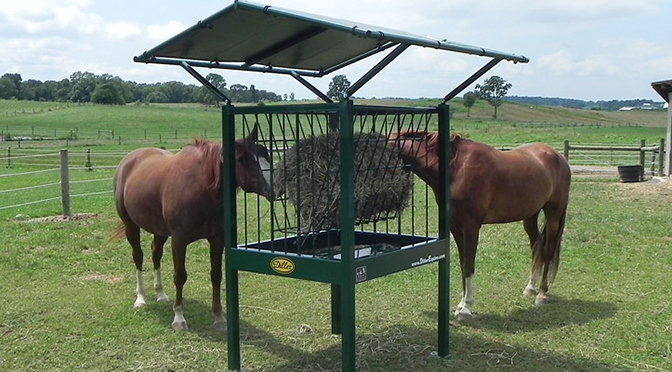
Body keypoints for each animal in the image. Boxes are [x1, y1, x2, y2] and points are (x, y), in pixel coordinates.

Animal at [111, 126, 274, 330]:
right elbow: (180, 276)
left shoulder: (217, 239)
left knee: (155, 253)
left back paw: (161, 294)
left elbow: (216, 275)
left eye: (265, 153)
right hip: (131, 225)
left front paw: (219, 317)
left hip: (160, 230)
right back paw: (140, 298)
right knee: (138, 257)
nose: (274, 187)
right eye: (241, 159)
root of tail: (128, 160)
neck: (202, 187)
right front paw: (179, 318)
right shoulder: (179, 240)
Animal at [388, 131, 572, 320]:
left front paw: (466, 309)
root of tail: (559, 157)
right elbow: (463, 264)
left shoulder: (471, 227)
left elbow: (469, 265)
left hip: (553, 214)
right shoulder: (456, 228)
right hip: (530, 216)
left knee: (547, 250)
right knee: (536, 247)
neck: (456, 168)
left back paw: (542, 294)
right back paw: (530, 288)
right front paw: (461, 305)